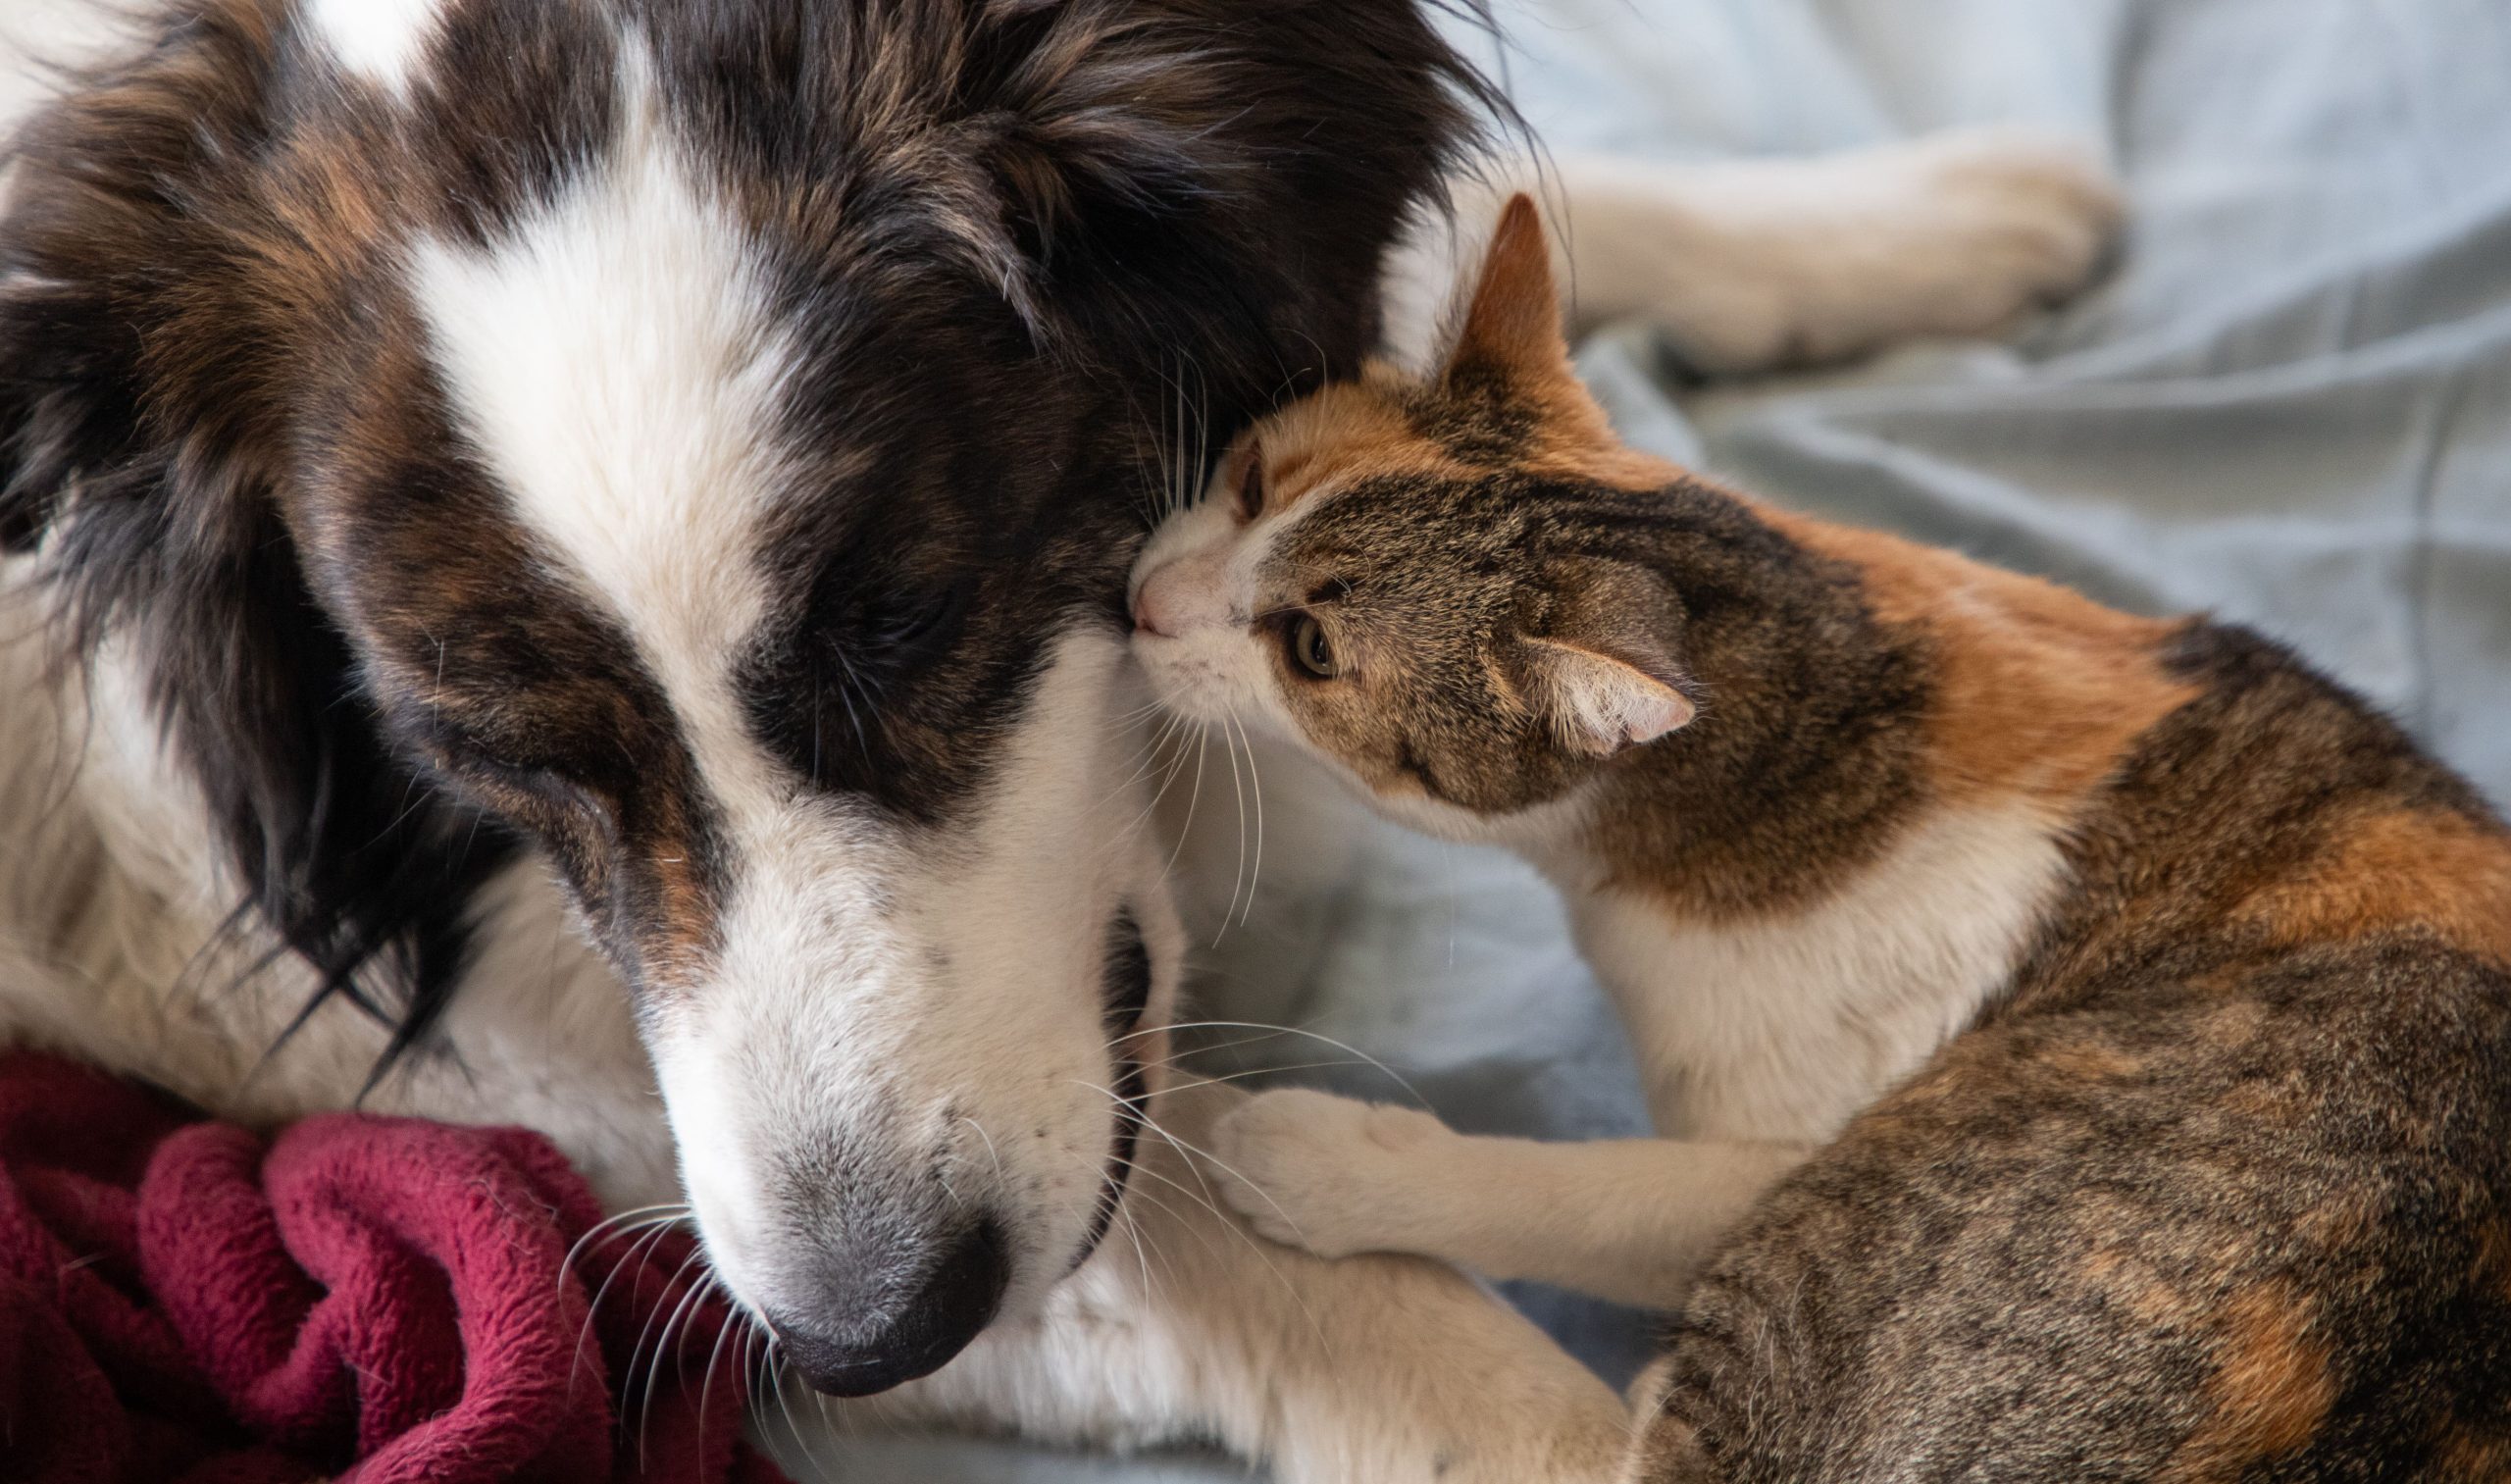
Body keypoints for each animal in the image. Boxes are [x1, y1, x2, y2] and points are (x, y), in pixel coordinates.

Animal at [0, 5, 2119, 1476]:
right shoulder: (538, 1102)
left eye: (910, 620)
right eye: (481, 752)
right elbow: (1280, 1274)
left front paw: (1896, 221)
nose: (863, 1337)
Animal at [1130, 194, 2511, 1476]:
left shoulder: (1774, 1162)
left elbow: (1594, 1193)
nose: (1140, 603)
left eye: (1309, 649)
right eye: (1247, 483)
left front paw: (1304, 1151)